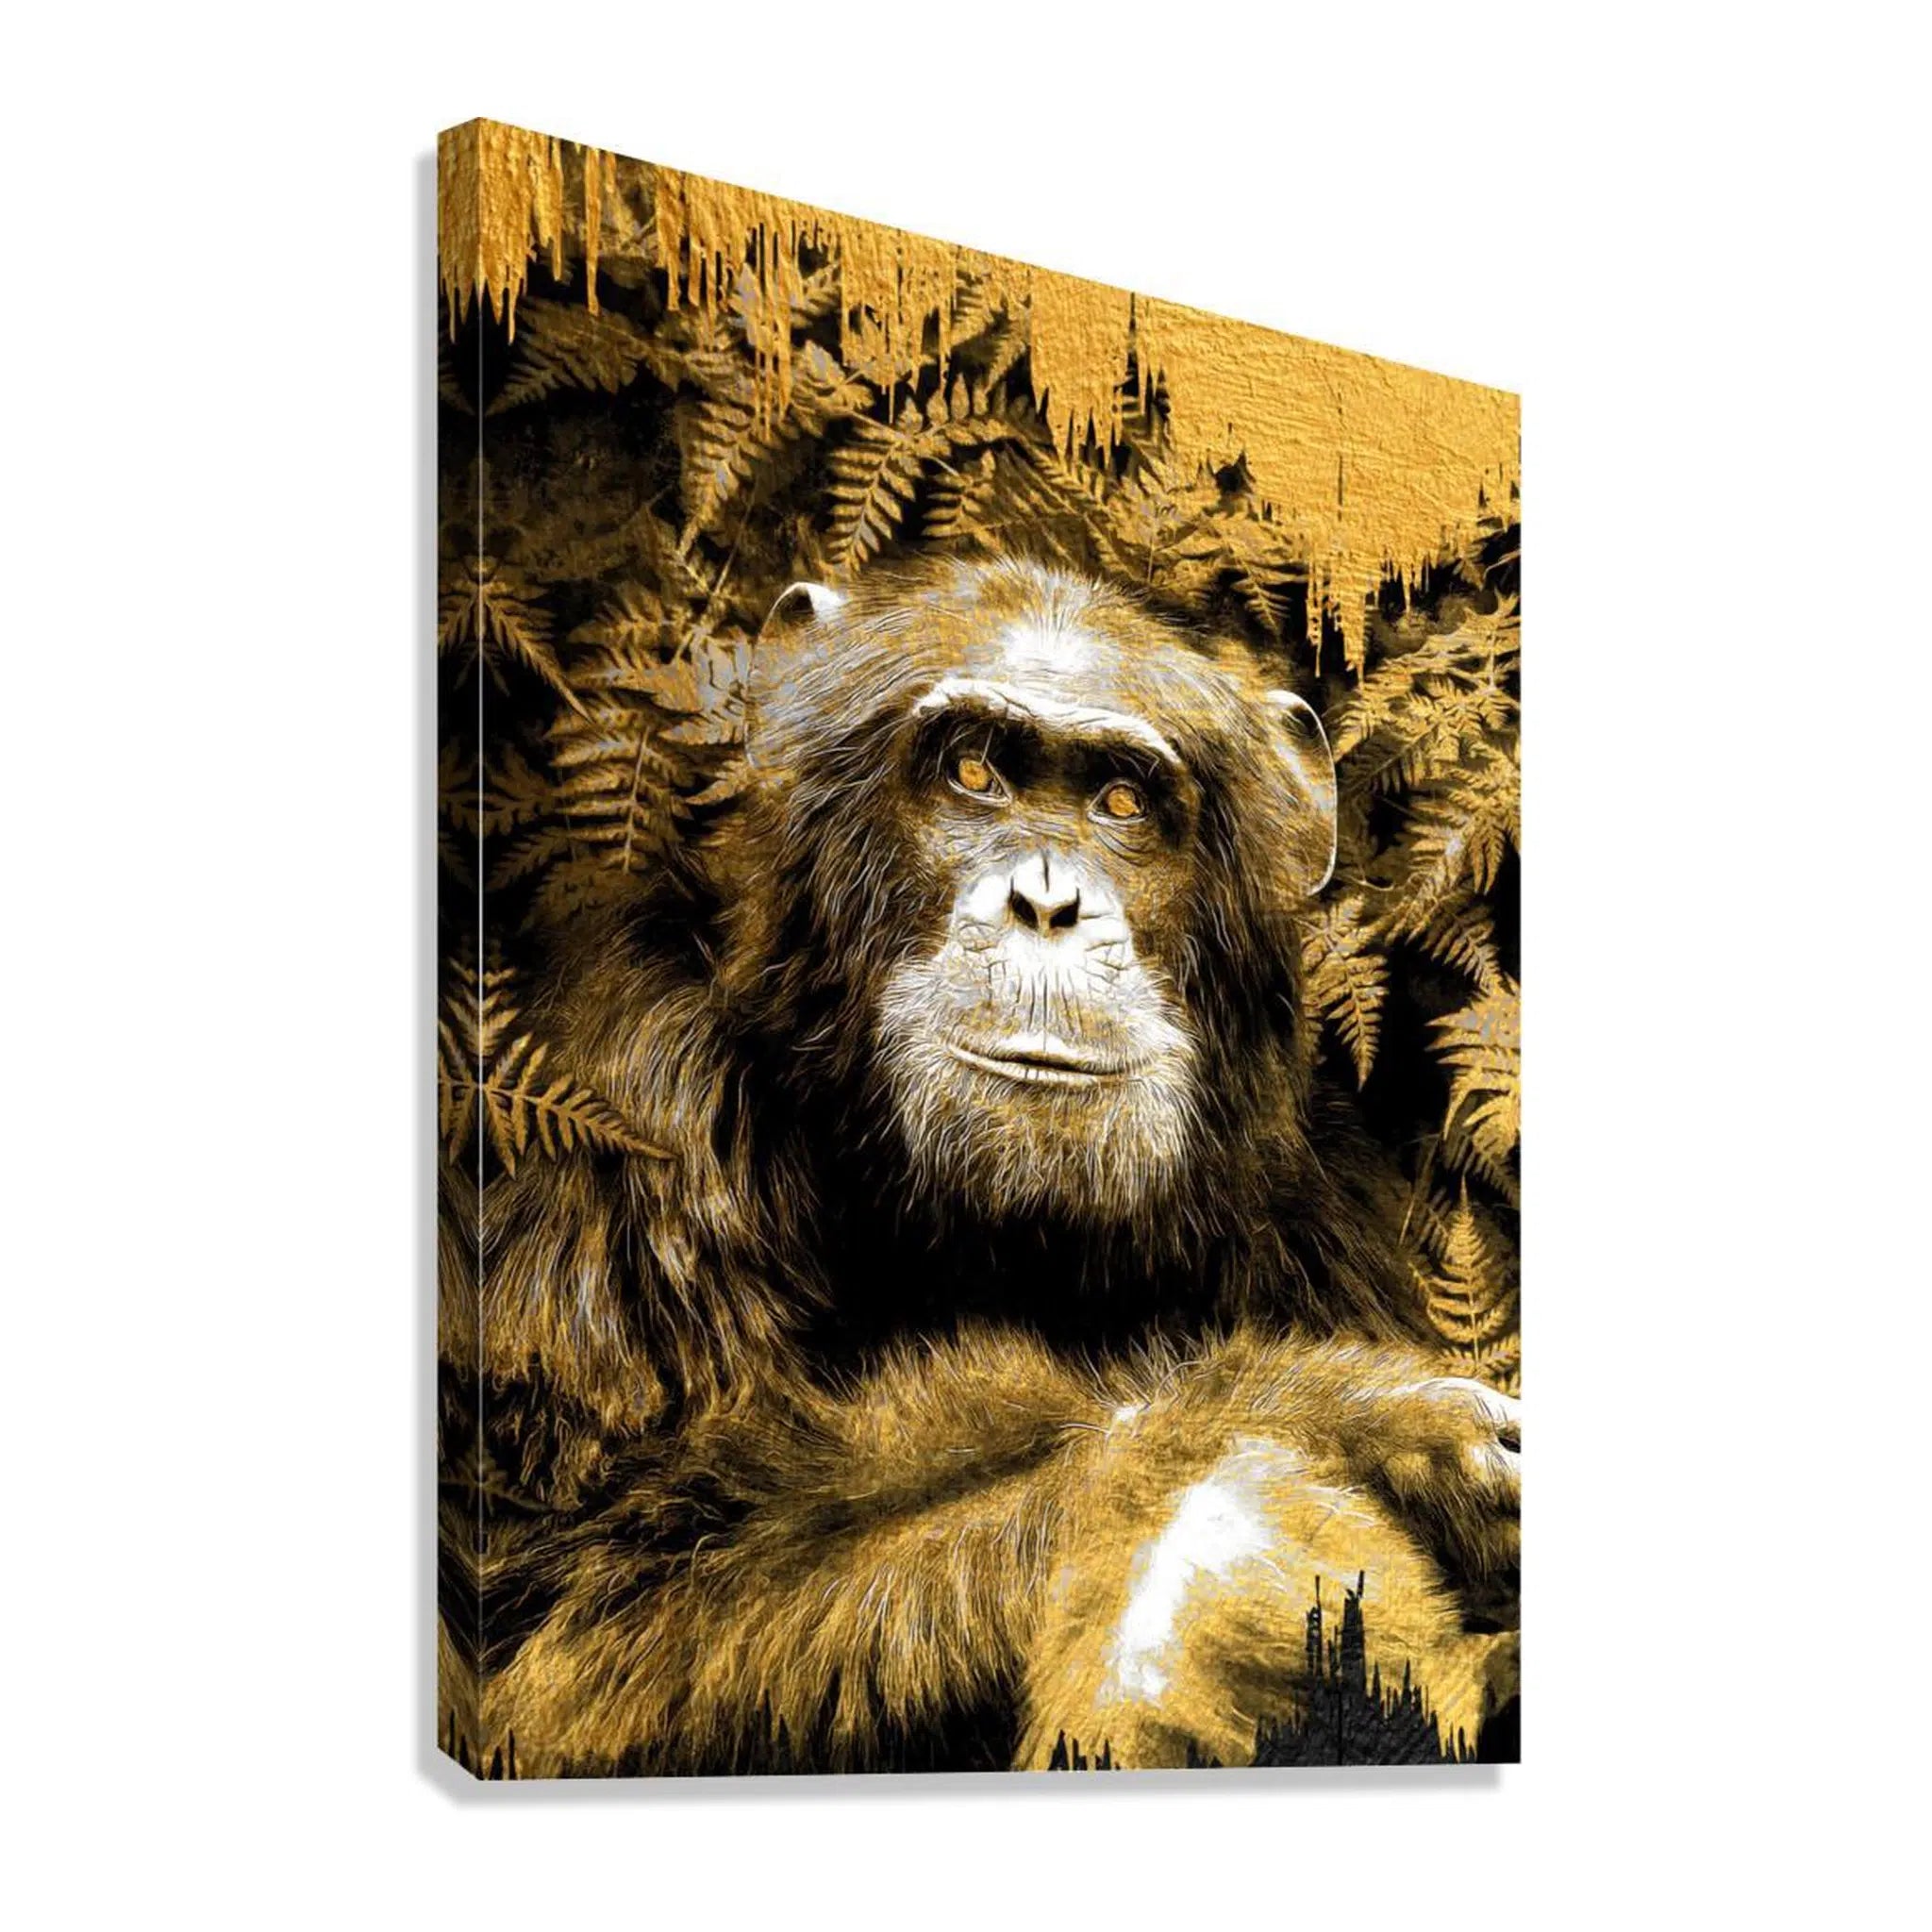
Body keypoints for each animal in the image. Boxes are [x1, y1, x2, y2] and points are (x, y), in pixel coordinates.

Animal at [442, 554, 1519, 1775]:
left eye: (1121, 802)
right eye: (972, 771)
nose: (1046, 901)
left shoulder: (1315, 1187)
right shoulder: (629, 1094)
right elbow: (573, 1632)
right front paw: (1351, 1416)